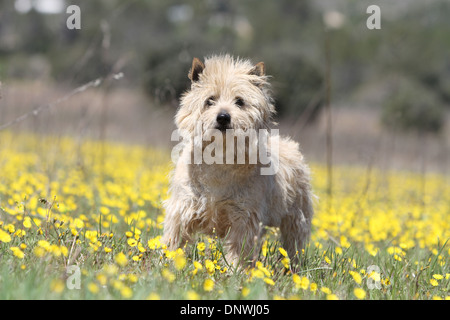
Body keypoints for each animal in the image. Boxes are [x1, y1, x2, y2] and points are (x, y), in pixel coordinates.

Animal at [162, 55, 312, 268]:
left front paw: (234, 269)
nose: (223, 117)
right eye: (210, 100)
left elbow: (239, 247)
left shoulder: (245, 215)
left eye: (240, 101)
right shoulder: (183, 206)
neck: (220, 158)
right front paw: (166, 261)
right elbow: (175, 237)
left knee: (293, 244)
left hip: (296, 216)